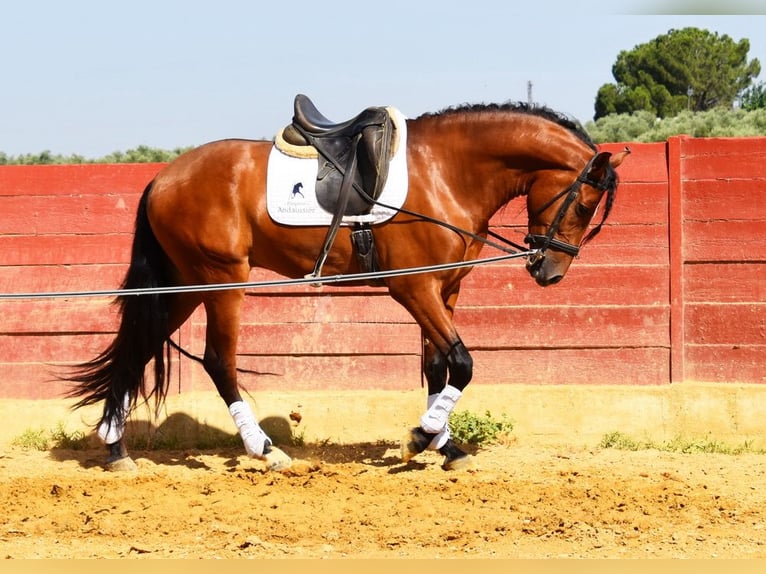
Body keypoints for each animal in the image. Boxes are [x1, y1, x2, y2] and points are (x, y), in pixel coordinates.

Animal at [66, 97, 629, 472]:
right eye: (584, 203)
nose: (550, 272)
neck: (447, 172)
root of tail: (163, 177)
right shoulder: (414, 289)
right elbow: (464, 364)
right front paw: (422, 436)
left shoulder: (443, 290)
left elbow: (437, 366)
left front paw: (443, 445)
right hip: (221, 281)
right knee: (217, 361)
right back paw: (264, 450)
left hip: (185, 286)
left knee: (138, 347)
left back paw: (116, 448)